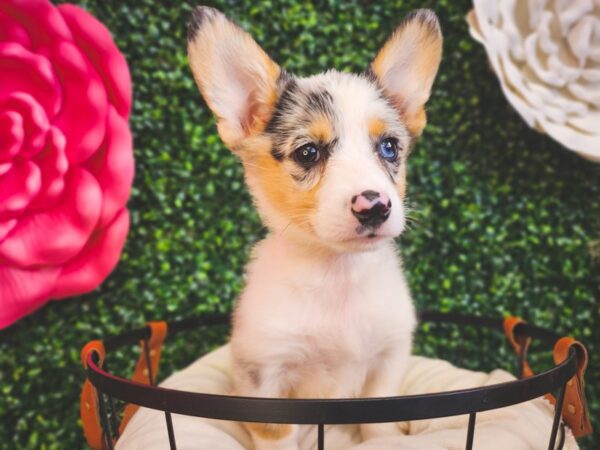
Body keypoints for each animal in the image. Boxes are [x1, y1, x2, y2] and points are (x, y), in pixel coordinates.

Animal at [188, 7, 440, 450]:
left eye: (390, 147)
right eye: (308, 152)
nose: (374, 206)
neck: (337, 274)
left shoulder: (388, 360)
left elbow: (381, 427)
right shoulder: (266, 378)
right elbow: (278, 436)